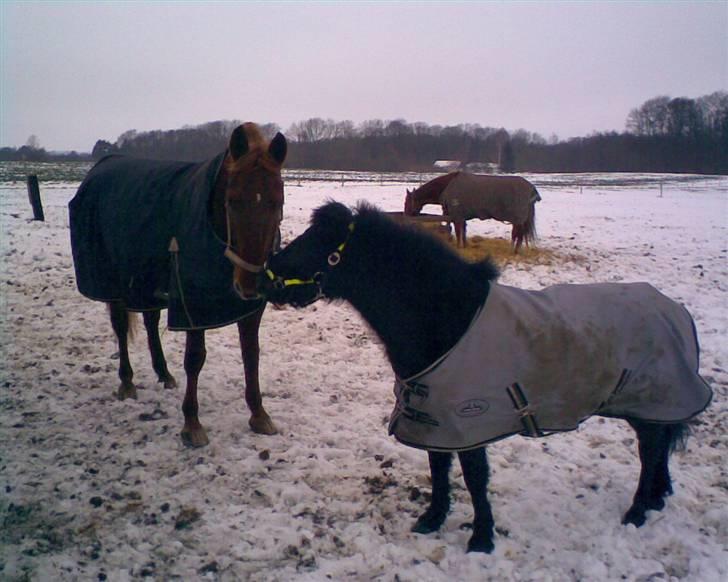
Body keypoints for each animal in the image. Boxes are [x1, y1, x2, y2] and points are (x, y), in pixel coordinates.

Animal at [70, 123, 288, 450]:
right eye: (232, 201)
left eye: (278, 201)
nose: (250, 284)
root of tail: (99, 168)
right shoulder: (192, 305)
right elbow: (195, 359)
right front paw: (192, 424)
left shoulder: (249, 309)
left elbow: (252, 354)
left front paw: (259, 414)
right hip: (115, 284)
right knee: (121, 328)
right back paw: (127, 382)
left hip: (145, 282)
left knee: (149, 320)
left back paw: (163, 373)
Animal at [260, 203, 712, 556]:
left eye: (321, 243)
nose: (267, 275)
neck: (450, 318)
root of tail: (675, 309)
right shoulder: (433, 415)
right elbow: (438, 467)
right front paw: (432, 518)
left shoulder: (468, 421)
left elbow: (475, 478)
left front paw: (481, 538)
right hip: (648, 405)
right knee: (659, 445)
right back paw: (656, 499)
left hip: (649, 399)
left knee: (650, 450)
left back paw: (637, 510)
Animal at [404, 169, 540, 251]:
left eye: (407, 202)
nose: (406, 215)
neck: (447, 186)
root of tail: (531, 189)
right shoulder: (461, 216)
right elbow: (463, 231)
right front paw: (464, 245)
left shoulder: (456, 216)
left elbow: (458, 231)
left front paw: (458, 246)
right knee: (518, 235)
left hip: (518, 219)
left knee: (518, 235)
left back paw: (514, 251)